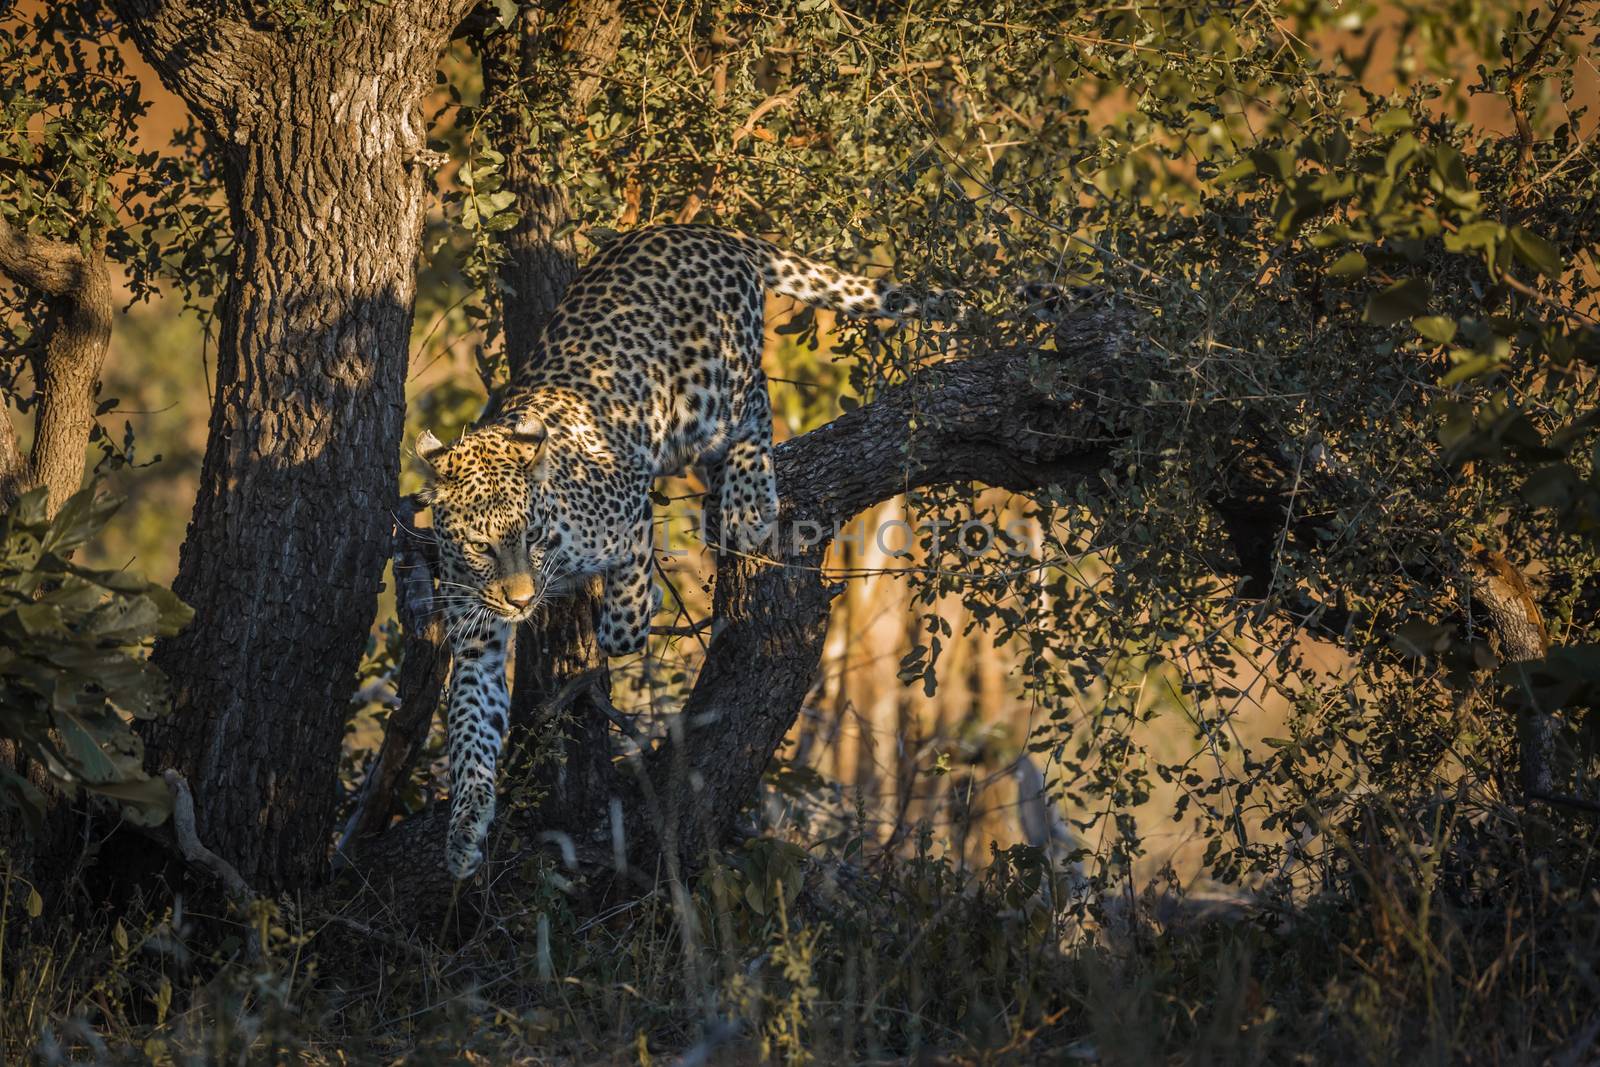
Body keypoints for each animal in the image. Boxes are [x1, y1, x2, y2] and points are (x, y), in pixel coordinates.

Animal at [419, 223, 953, 876]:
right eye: (480, 545)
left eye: (533, 536)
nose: (521, 603)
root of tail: (714, 232)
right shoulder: (476, 633)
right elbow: (471, 723)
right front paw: (464, 830)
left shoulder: (628, 499)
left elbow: (622, 622)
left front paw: (623, 612)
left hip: (710, 392)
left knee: (755, 403)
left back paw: (747, 501)